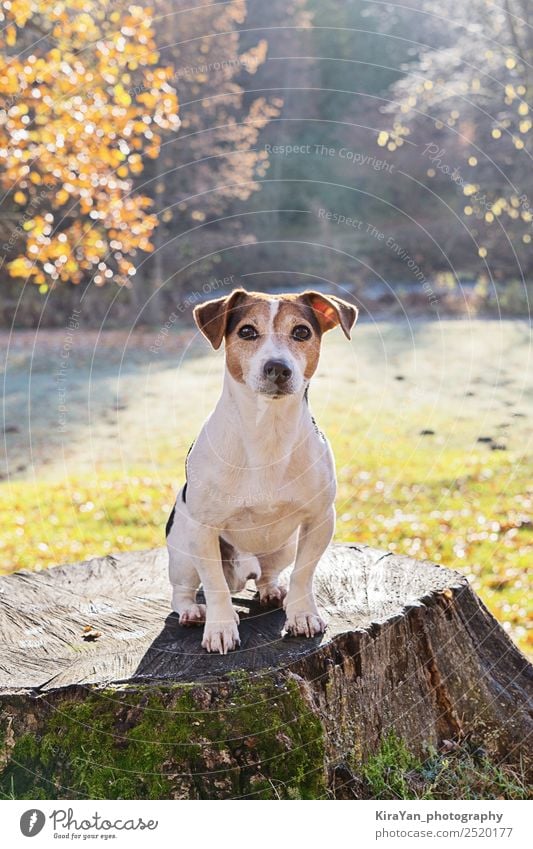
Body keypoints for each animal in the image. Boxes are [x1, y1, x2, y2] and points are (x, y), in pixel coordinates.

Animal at [166, 288, 358, 652]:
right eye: (246, 331)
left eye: (301, 332)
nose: (277, 368)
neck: (267, 429)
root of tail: (244, 570)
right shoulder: (202, 529)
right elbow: (213, 585)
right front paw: (221, 627)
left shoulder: (320, 518)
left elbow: (303, 574)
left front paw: (302, 615)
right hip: (182, 549)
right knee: (184, 591)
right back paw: (193, 612)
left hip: (282, 547)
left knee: (269, 574)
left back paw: (271, 590)